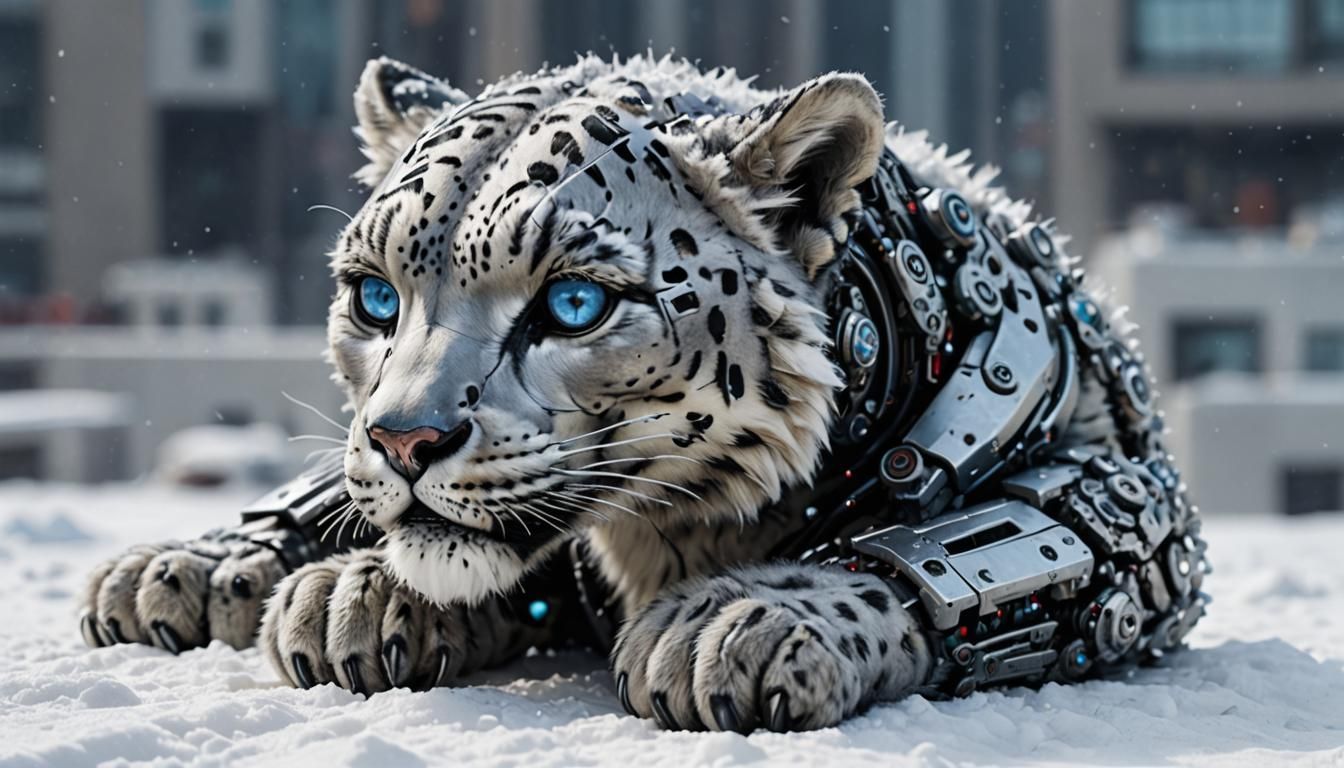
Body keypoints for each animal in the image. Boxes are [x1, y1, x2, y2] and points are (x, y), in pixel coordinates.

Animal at [78, 53, 1206, 733]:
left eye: (574, 302)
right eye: (375, 295)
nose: (403, 441)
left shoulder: (1133, 490)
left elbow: (993, 537)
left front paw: (731, 627)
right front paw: (321, 586)